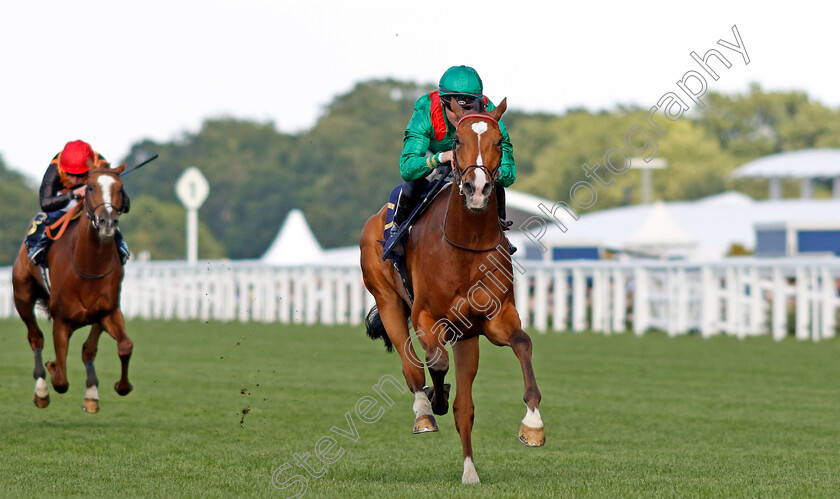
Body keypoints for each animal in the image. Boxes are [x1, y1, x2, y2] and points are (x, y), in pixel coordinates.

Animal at [11, 161, 133, 414]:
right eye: (90, 188)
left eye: (120, 189)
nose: (107, 222)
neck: (89, 264)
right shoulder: (62, 320)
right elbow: (61, 381)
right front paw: (52, 368)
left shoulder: (108, 311)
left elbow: (123, 346)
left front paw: (119, 386)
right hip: (22, 296)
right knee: (35, 338)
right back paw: (41, 390)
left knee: (88, 349)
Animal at [360, 97, 544, 484]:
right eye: (457, 141)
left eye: (499, 142)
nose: (477, 188)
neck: (465, 246)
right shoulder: (427, 316)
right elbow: (435, 361)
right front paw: (435, 397)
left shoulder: (494, 319)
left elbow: (522, 343)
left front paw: (533, 426)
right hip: (388, 301)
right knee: (411, 368)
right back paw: (424, 412)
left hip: (467, 336)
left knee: (465, 407)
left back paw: (470, 470)